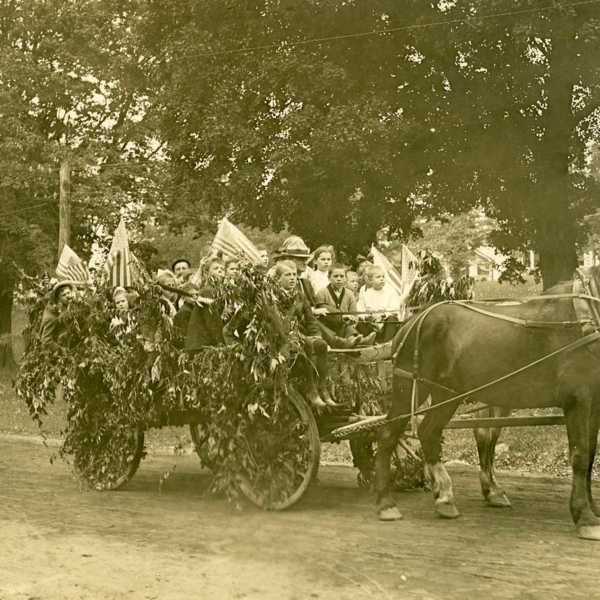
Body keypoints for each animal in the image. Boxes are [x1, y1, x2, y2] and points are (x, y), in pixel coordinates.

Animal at [376, 268, 600, 540]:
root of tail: (411, 321)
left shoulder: (595, 402)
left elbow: (590, 454)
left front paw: (593, 510)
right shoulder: (578, 400)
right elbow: (580, 456)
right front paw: (585, 517)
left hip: (446, 394)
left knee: (429, 431)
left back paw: (444, 498)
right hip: (409, 387)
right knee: (388, 434)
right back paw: (385, 503)